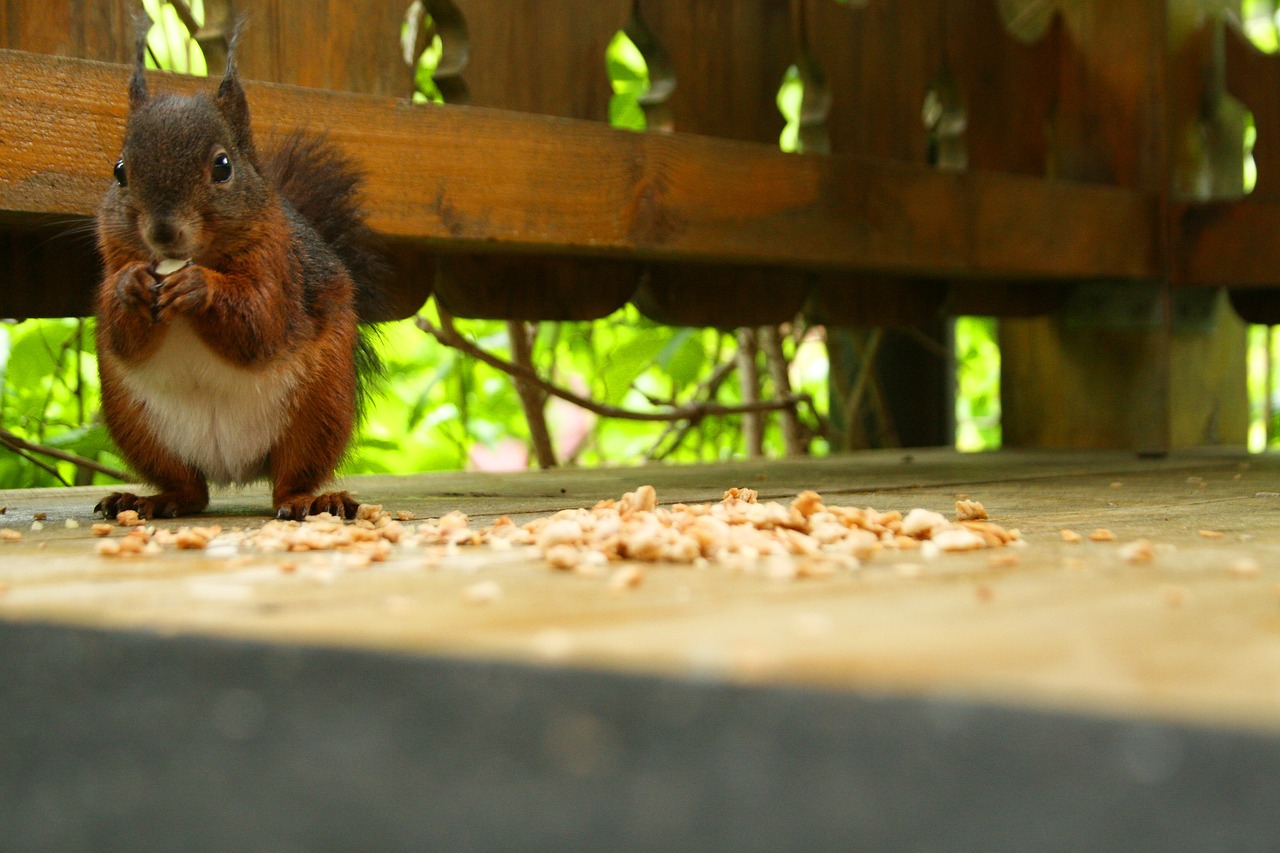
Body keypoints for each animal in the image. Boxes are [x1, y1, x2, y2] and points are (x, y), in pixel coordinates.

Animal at [93, 23, 384, 517]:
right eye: (119, 171)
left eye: (223, 166)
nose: (163, 231)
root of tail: (233, 468)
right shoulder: (111, 259)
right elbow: (121, 336)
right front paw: (129, 286)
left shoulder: (281, 269)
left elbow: (260, 325)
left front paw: (199, 288)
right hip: (136, 426)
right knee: (190, 490)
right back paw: (152, 499)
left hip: (320, 409)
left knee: (289, 479)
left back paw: (311, 500)